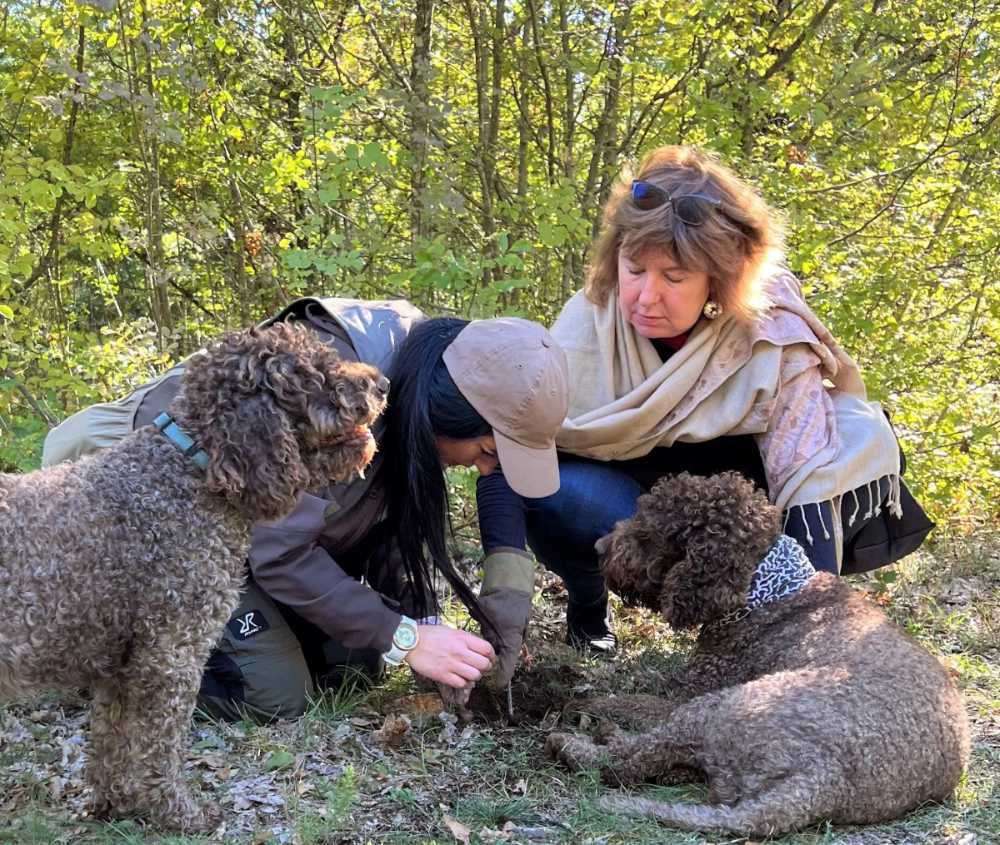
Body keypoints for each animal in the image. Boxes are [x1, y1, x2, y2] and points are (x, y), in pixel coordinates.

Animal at [0, 324, 386, 832]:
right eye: (315, 372)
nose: (382, 384)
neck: (188, 470)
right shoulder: (171, 656)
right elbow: (158, 746)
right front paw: (177, 812)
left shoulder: (121, 665)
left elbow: (111, 739)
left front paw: (115, 803)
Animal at [548, 472, 968, 836]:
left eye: (647, 532)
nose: (599, 548)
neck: (764, 590)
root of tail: (823, 783)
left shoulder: (682, 696)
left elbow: (626, 699)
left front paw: (585, 699)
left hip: (715, 707)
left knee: (629, 761)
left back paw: (578, 743)